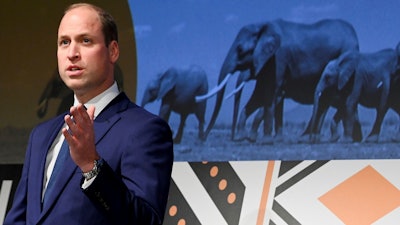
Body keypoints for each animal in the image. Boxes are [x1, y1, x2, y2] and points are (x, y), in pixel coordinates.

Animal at [197, 18, 360, 142]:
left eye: (240, 50)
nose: (203, 139)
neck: (262, 26)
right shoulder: (268, 65)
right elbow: (261, 96)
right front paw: (247, 137)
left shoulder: (279, 58)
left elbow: (271, 95)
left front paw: (260, 139)